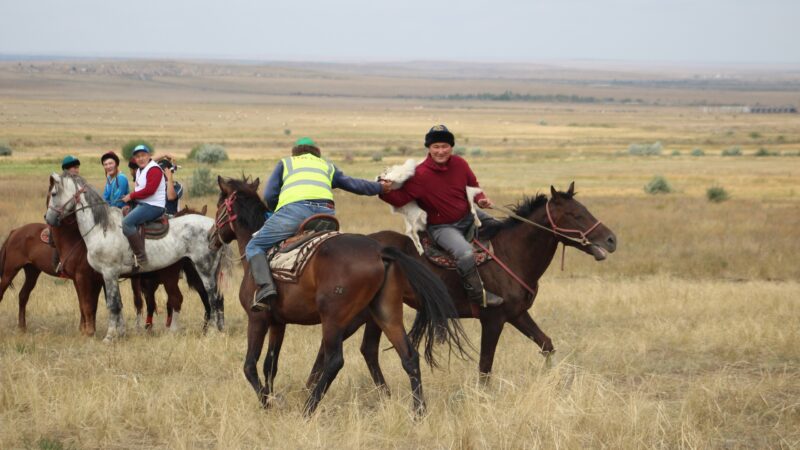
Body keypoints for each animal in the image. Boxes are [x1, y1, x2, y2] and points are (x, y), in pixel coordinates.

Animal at [44, 172, 225, 342]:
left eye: (53, 193)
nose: (48, 218)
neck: (102, 229)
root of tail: (213, 227)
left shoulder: (108, 273)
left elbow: (112, 305)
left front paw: (109, 336)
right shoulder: (108, 276)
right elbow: (118, 303)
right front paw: (120, 333)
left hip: (204, 270)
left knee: (212, 298)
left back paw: (212, 332)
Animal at [212, 176, 472, 414]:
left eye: (219, 205)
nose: (212, 236)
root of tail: (381, 252)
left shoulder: (258, 318)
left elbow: (250, 365)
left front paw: (267, 404)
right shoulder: (278, 323)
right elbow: (270, 365)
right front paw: (271, 398)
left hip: (334, 319)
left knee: (334, 361)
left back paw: (308, 408)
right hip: (385, 314)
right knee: (409, 357)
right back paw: (418, 412)